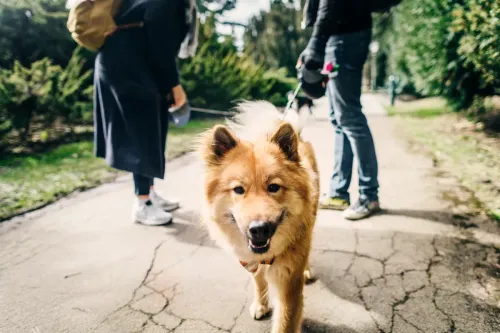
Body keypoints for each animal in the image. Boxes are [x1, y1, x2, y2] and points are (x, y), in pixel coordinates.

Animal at [197, 102, 318, 332]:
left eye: (274, 187)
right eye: (238, 189)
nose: (259, 228)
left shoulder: (289, 286)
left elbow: (284, 323)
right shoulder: (250, 261)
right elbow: (259, 280)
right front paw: (261, 304)